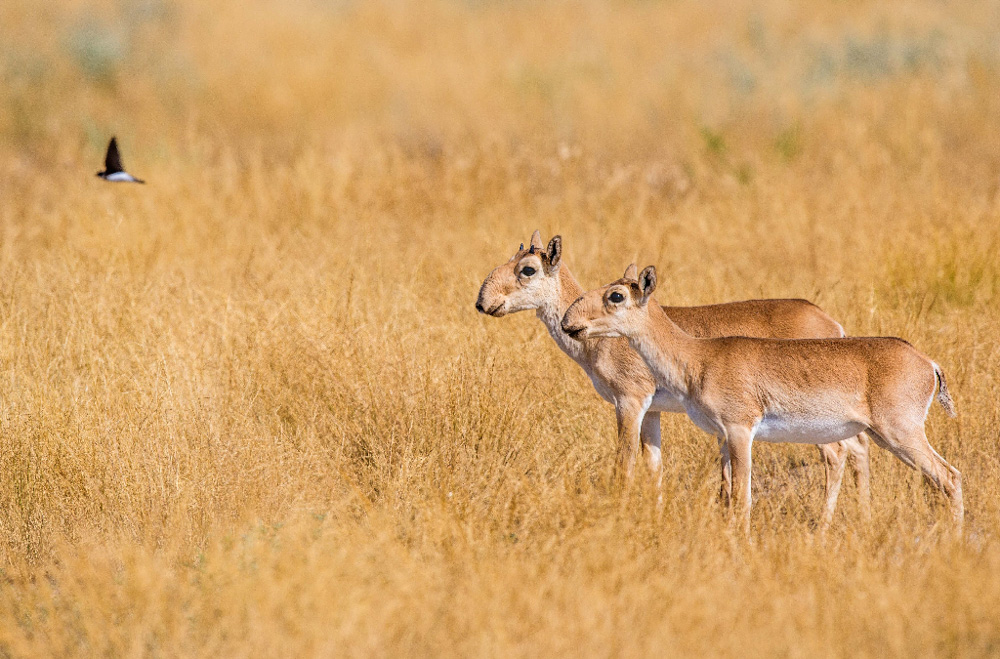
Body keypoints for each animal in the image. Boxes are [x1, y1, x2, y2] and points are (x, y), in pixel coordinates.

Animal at [476, 232, 868, 524]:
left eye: (527, 269)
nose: (482, 302)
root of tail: (831, 323)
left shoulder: (630, 402)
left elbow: (624, 466)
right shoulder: (652, 412)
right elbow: (654, 468)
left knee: (838, 455)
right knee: (860, 449)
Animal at [564, 264, 960, 536]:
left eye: (616, 295)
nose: (570, 322)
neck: (699, 356)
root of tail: (928, 363)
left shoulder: (740, 430)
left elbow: (742, 496)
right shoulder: (723, 436)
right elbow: (728, 492)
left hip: (900, 434)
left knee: (949, 476)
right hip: (883, 437)